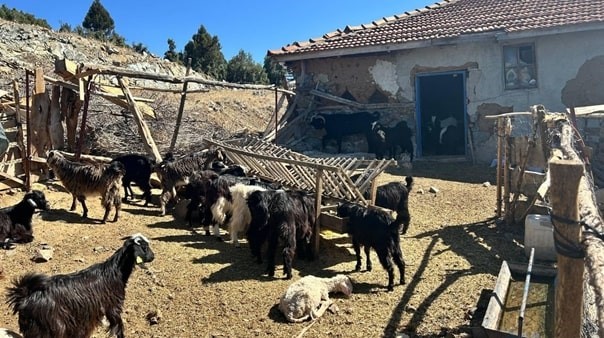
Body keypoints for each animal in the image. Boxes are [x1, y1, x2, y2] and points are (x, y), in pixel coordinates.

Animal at [6, 234, 155, 338]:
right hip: (52, 327)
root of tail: (25, 297)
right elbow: (118, 327)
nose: (153, 257)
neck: (115, 273)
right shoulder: (113, 307)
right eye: (144, 247)